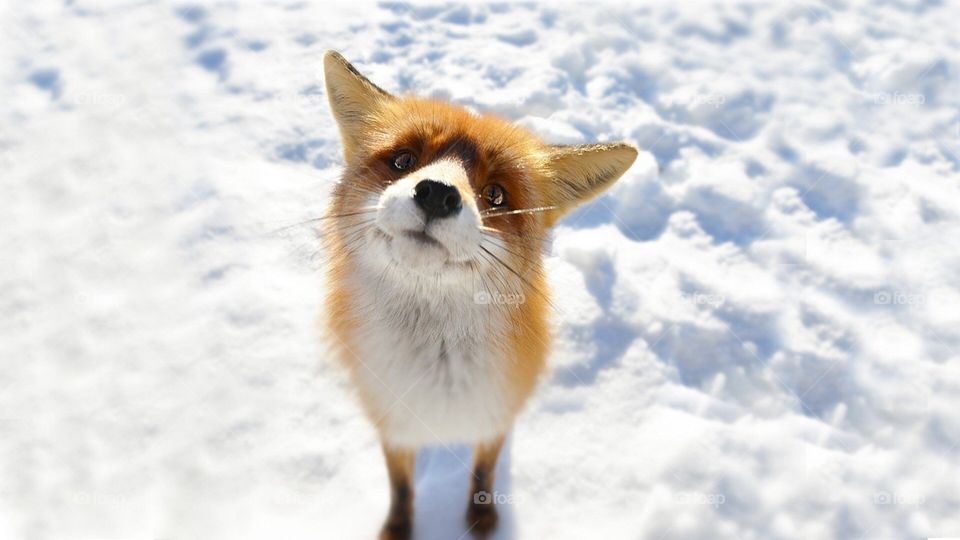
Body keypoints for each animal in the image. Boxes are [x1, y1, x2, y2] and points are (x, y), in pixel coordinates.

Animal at [321, 50, 637, 539]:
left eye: (496, 194)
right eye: (403, 160)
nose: (436, 194)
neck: (438, 373)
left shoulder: (496, 414)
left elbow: (484, 470)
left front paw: (482, 517)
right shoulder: (391, 422)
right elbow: (401, 486)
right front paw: (398, 528)